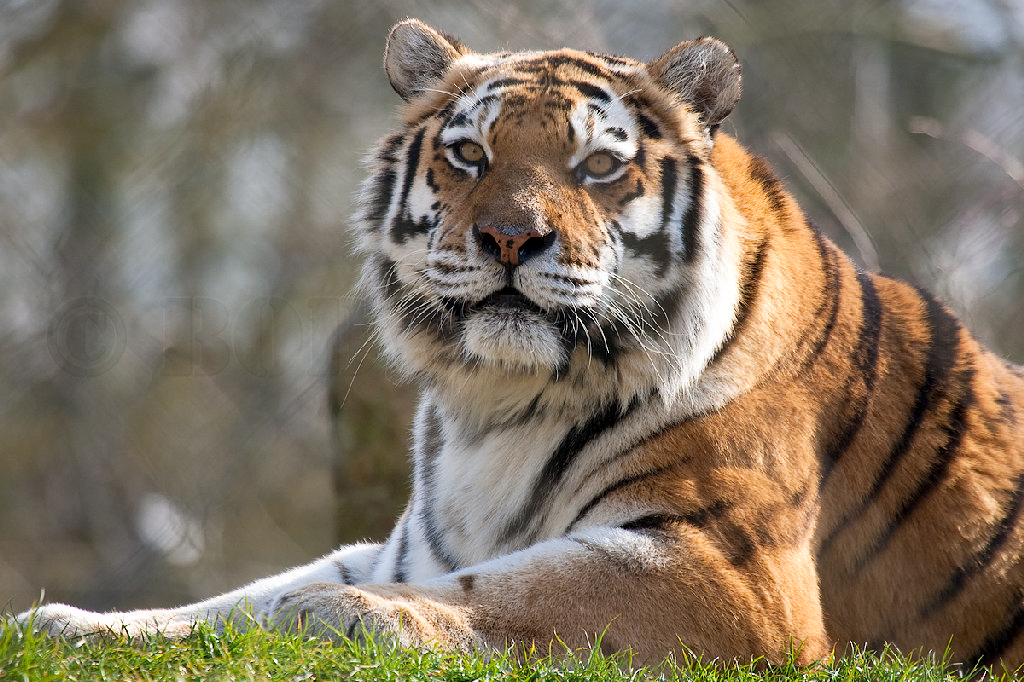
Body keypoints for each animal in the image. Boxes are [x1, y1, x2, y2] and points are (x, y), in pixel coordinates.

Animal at [17, 18, 1024, 671]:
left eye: (600, 166)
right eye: (470, 154)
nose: (511, 238)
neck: (499, 402)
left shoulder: (728, 568)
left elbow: (514, 591)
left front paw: (337, 614)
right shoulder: (404, 547)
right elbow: (234, 600)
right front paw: (66, 623)